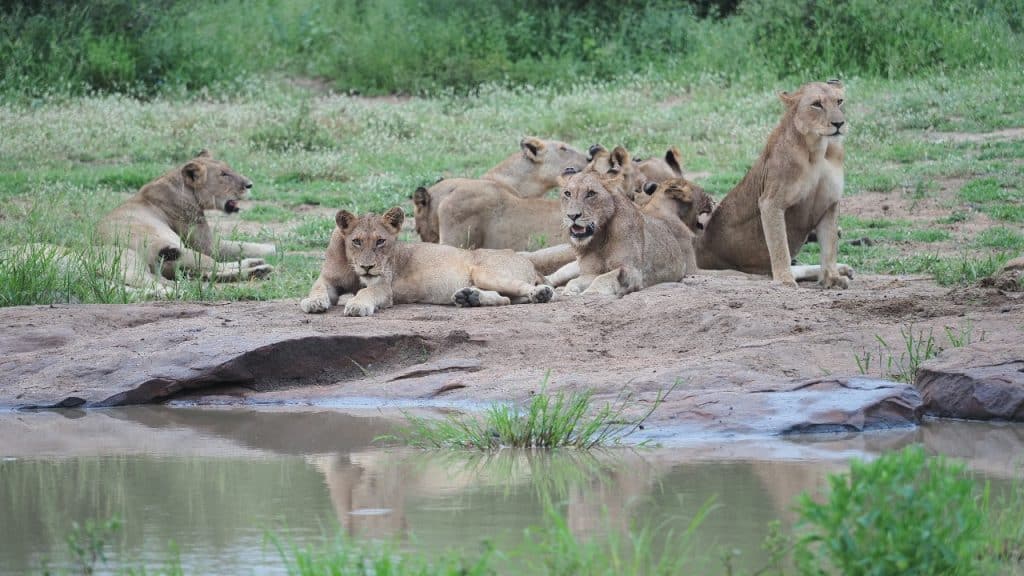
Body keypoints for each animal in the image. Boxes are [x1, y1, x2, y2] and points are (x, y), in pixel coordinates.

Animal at [96, 147, 276, 286]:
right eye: (223, 174)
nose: (250, 185)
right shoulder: (207, 245)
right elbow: (242, 245)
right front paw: (274, 248)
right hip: (179, 250)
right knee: (214, 267)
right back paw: (260, 269)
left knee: (208, 273)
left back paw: (256, 267)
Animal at [299, 204, 552, 315]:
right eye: (356, 241)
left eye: (380, 241)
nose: (367, 267)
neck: (353, 267)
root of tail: (527, 261)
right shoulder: (328, 278)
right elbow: (317, 288)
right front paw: (313, 302)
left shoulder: (384, 287)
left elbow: (366, 292)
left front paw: (357, 305)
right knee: (506, 299)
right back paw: (468, 297)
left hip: (486, 271)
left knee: (522, 290)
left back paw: (541, 294)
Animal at [696, 79, 856, 286]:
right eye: (816, 104)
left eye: (839, 101)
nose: (839, 124)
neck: (818, 149)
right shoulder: (771, 202)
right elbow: (780, 246)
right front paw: (785, 280)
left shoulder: (829, 202)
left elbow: (830, 246)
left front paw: (832, 278)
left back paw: (843, 269)